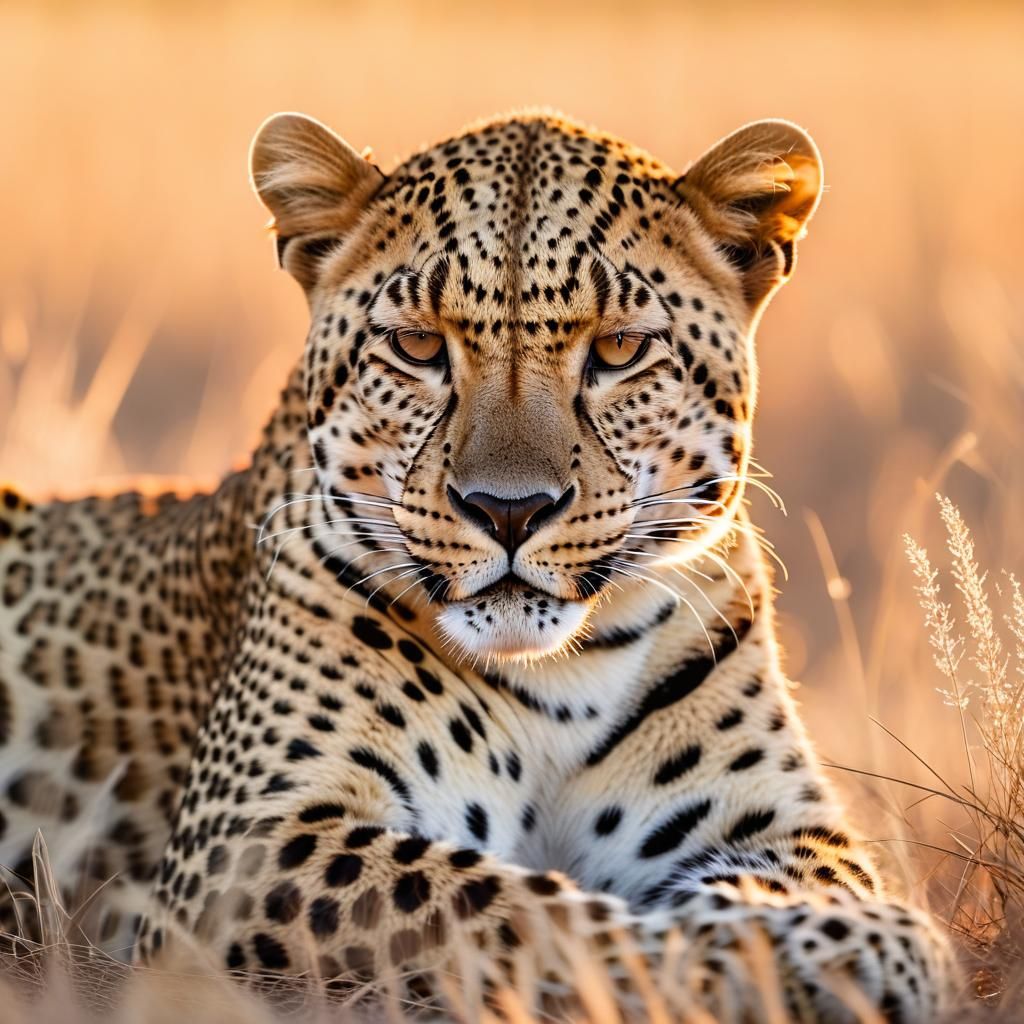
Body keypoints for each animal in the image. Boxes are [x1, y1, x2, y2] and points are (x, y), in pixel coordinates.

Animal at [0, 109, 957, 1020]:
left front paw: (851, 939)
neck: (562, 678)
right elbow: (508, 909)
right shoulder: (243, 842)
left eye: (618, 351)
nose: (508, 511)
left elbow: (805, 882)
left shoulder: (769, 820)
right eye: (419, 348)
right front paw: (813, 955)